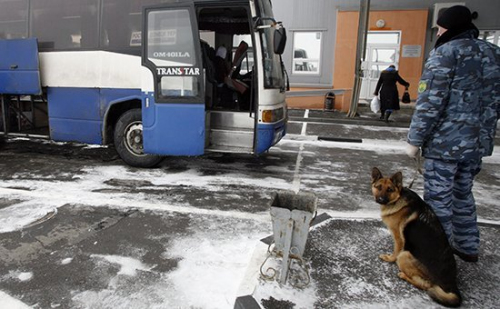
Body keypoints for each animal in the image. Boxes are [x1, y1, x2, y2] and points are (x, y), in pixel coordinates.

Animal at [372, 167, 460, 306]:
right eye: (379, 187)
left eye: (390, 189)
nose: (380, 199)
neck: (398, 198)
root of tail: (452, 283)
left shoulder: (398, 238)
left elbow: (395, 251)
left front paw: (389, 258)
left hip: (404, 255)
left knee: (425, 285)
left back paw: (403, 276)